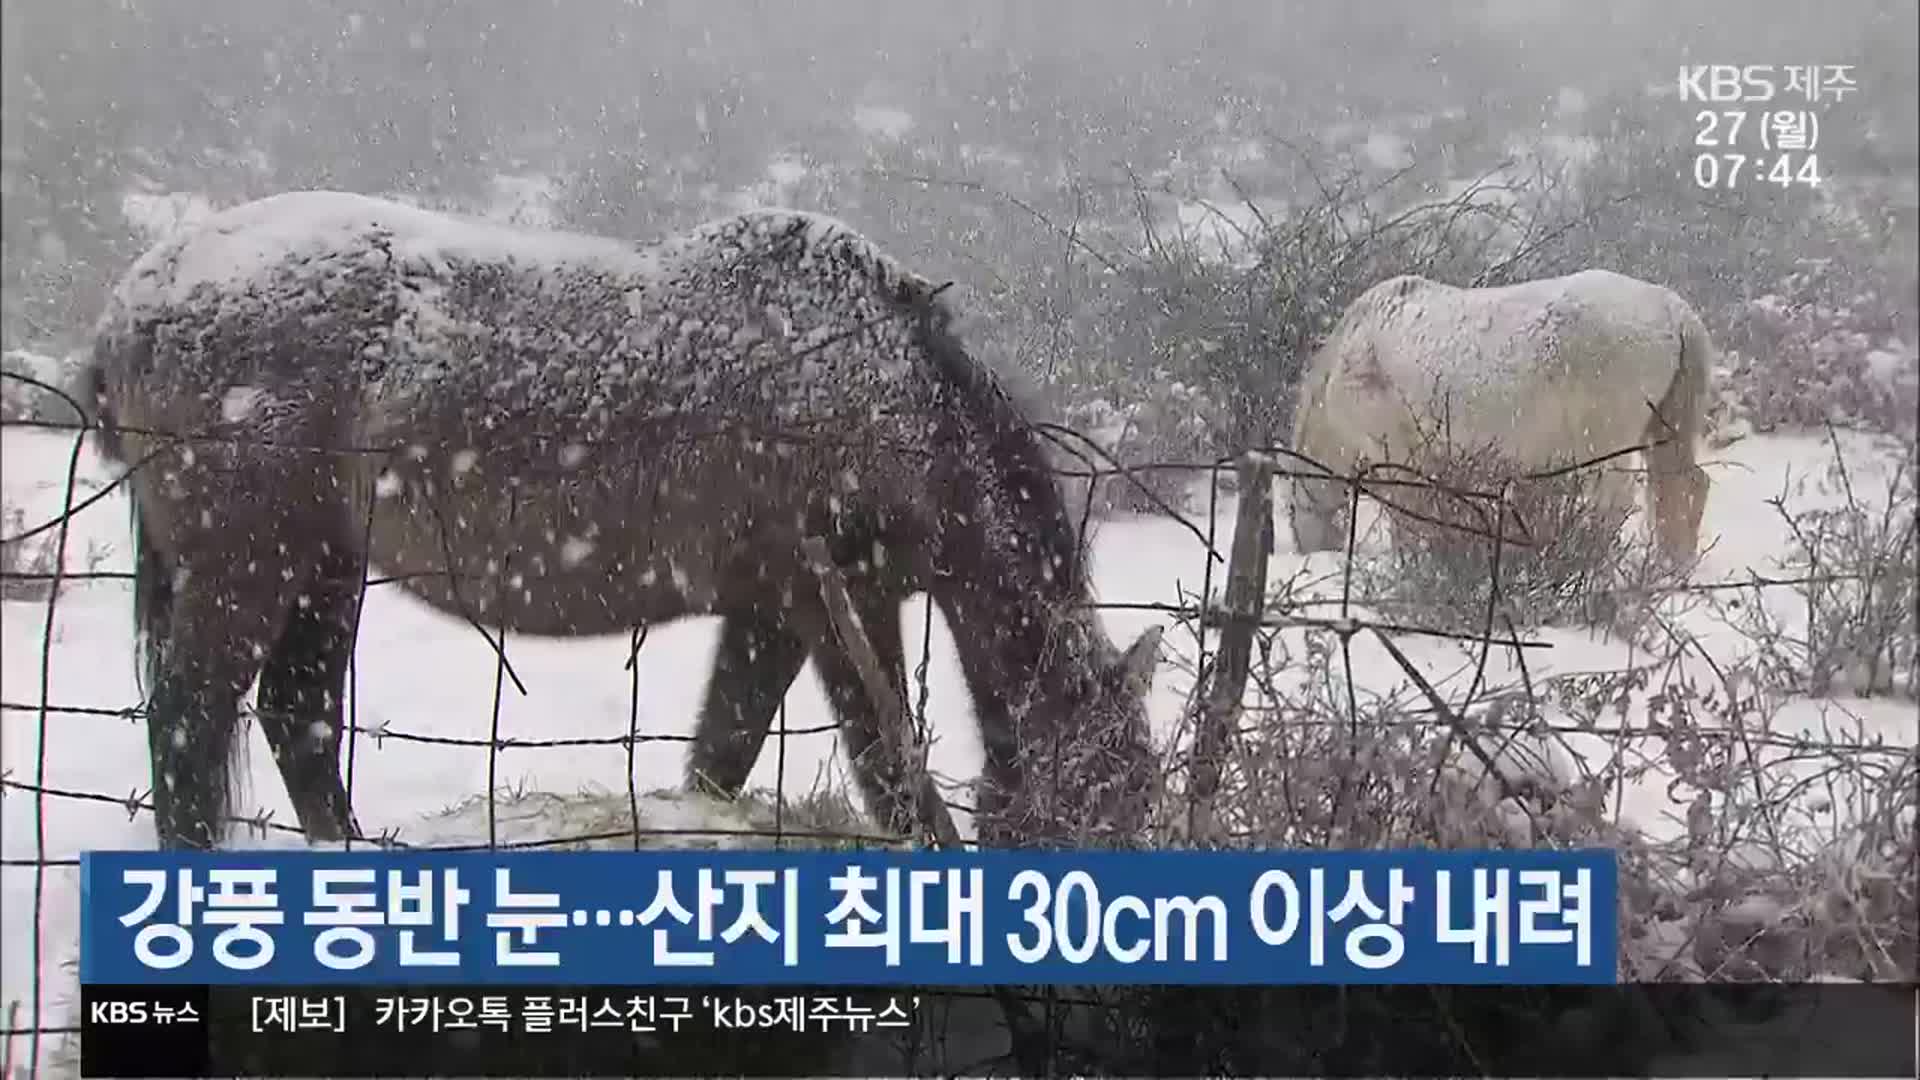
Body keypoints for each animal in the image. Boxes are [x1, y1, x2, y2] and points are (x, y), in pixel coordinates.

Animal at [86, 191, 1167, 849]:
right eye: (1096, 801)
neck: (890, 396)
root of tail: (141, 296)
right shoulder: (840, 606)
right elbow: (884, 769)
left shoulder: (771, 611)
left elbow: (721, 754)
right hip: (247, 567)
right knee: (192, 721)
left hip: (322, 565)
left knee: (296, 716)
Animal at [1290, 267, 1712, 564]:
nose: (1312, 550)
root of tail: (1674, 311)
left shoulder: (1390, 436)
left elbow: (1408, 507)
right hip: (1670, 406)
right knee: (1681, 478)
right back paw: (1672, 564)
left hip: (1606, 410)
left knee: (1613, 495)